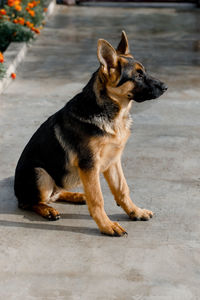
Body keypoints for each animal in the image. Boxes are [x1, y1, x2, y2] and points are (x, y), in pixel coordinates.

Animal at [14, 31, 167, 236]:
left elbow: (122, 189)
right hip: (40, 174)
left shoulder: (113, 161)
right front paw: (107, 226)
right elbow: (97, 199)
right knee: (30, 202)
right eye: (138, 76)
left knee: (57, 192)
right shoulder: (89, 165)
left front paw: (135, 212)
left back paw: (77, 196)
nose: (165, 87)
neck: (113, 114)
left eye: (145, 72)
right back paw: (48, 210)